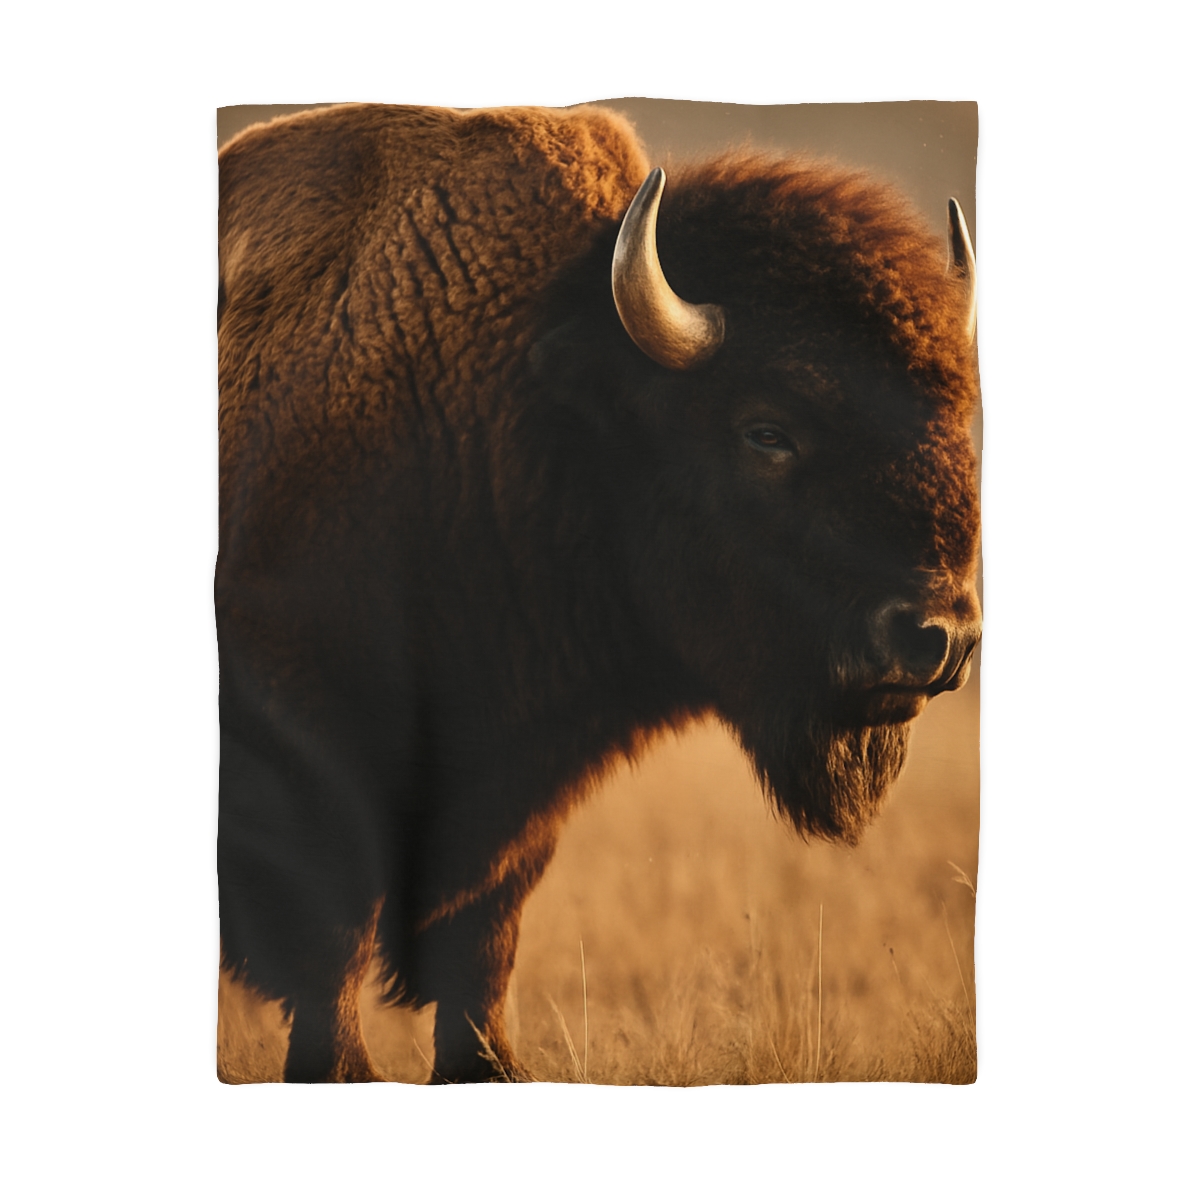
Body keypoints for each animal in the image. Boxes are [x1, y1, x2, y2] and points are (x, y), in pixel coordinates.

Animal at [217, 103, 981, 1083]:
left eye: (954, 421)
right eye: (766, 430)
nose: (940, 637)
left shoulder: (517, 797)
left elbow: (480, 948)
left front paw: (488, 1065)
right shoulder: (306, 759)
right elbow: (332, 948)